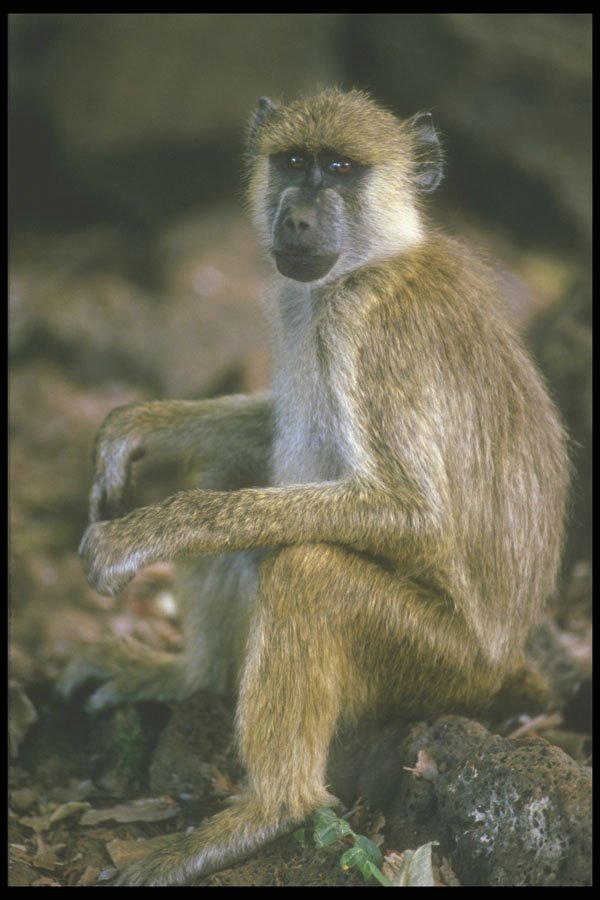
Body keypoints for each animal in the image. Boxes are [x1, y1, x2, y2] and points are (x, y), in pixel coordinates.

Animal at [59, 89, 569, 885]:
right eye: (294, 161)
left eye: (341, 169)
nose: (296, 216)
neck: (369, 260)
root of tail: (505, 661)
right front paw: (135, 427)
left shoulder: (367, 326)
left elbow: (414, 515)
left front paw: (141, 534)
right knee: (231, 479)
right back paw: (189, 676)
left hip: (439, 669)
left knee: (306, 571)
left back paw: (269, 810)